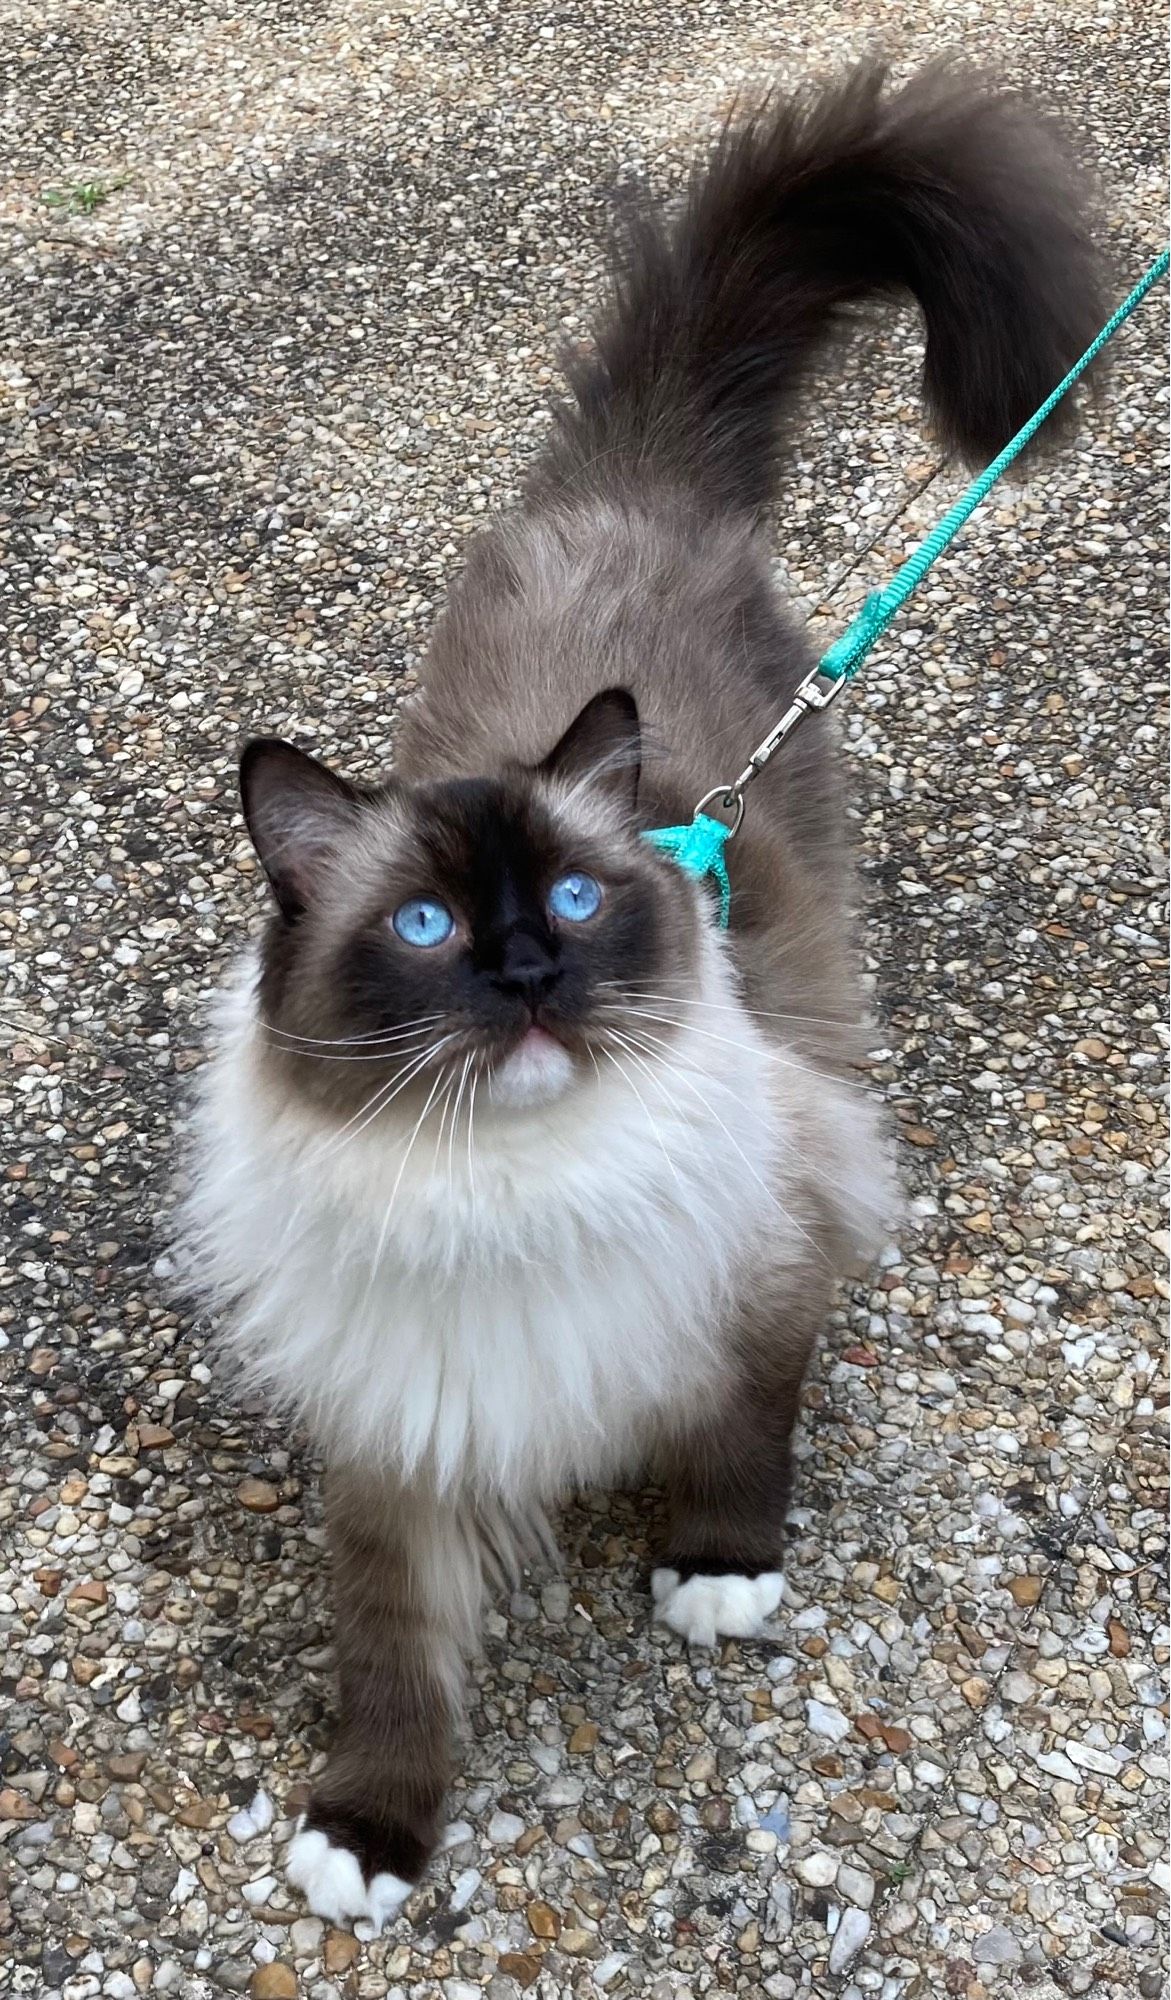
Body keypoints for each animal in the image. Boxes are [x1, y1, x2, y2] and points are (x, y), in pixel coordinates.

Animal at [177, 62, 1095, 1928]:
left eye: (579, 902)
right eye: (430, 930)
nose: (531, 975)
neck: (506, 1188)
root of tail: (625, 484)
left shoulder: (760, 1274)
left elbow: (744, 1439)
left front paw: (716, 1580)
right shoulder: (399, 1435)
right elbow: (392, 1662)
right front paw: (366, 1841)